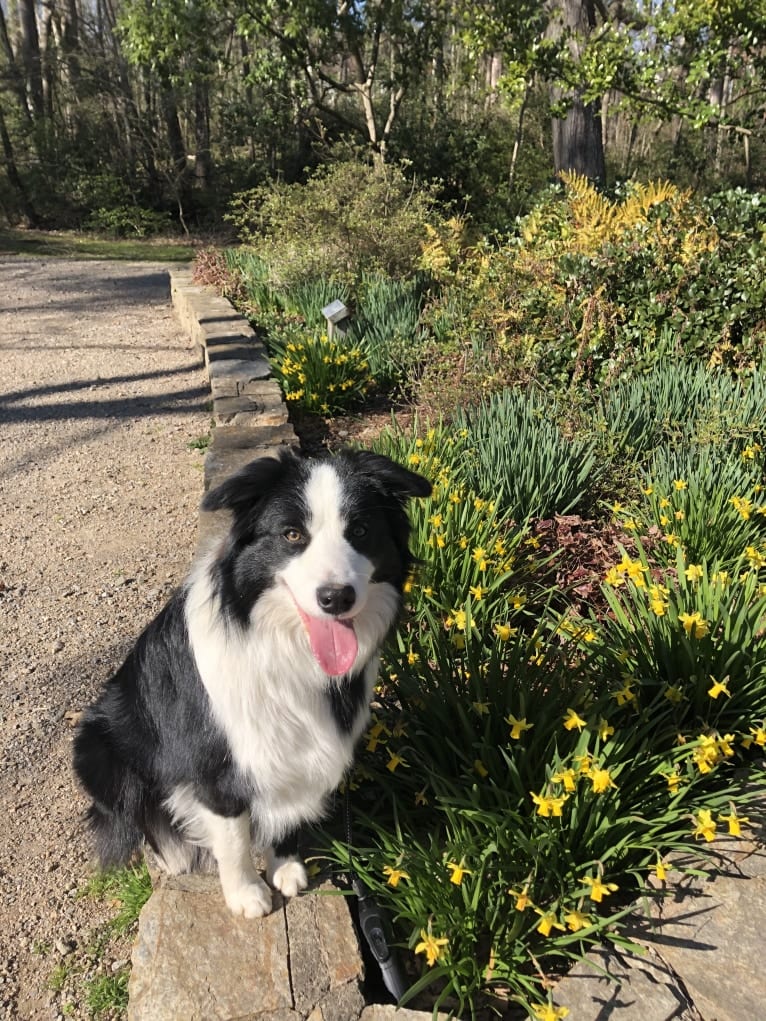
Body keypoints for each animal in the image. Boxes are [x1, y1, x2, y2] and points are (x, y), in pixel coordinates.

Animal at [72, 447, 433, 918]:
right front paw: (246, 894)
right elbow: (234, 837)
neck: (286, 650)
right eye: (292, 534)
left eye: (360, 530)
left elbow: (289, 808)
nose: (336, 598)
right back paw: (172, 854)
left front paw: (286, 867)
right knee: (136, 810)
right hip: (96, 746)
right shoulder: (216, 766)